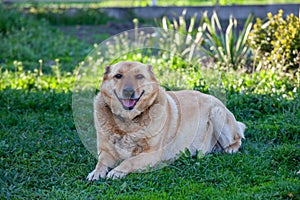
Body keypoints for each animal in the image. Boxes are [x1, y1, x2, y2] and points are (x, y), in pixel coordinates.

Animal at [86, 61, 246, 180]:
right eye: (118, 76)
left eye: (139, 76)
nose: (128, 91)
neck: (128, 121)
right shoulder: (106, 151)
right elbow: (101, 162)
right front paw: (96, 172)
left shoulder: (152, 154)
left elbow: (129, 161)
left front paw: (117, 171)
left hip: (217, 113)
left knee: (237, 139)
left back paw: (230, 149)